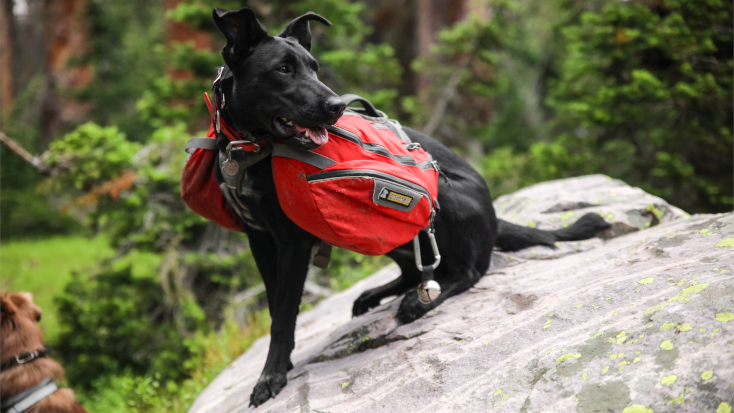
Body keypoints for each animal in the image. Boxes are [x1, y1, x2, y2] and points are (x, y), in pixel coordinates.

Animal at [210, 7, 612, 406]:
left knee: (467, 272)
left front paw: (271, 377)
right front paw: (281, 365)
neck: (252, 150)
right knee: (415, 270)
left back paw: (419, 302)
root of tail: (495, 218)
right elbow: (277, 307)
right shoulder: (260, 238)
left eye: (315, 67)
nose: (337, 107)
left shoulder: (293, 241)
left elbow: (281, 316)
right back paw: (378, 294)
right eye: (282, 69)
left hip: (437, 199)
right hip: (383, 231)